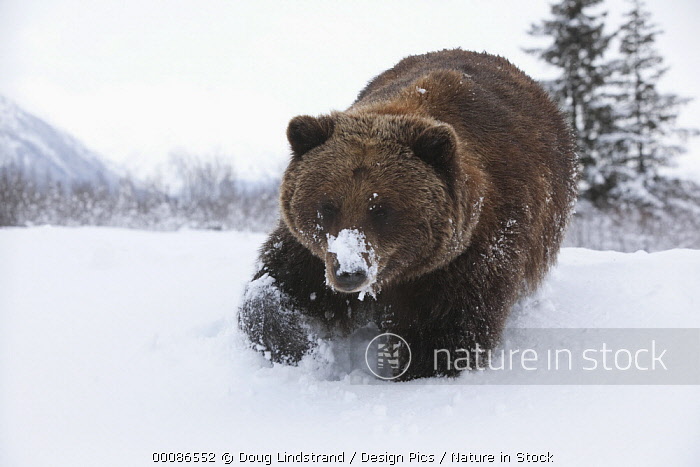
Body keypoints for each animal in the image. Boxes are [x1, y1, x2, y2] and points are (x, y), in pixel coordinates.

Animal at [238, 49, 576, 382]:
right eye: (327, 205)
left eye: (381, 209)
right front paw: (300, 346)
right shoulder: (314, 252)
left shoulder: (469, 258)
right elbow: (277, 287)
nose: (350, 272)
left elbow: (442, 334)